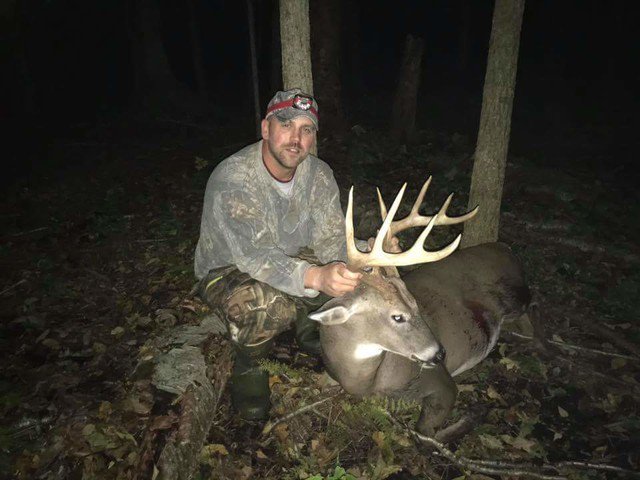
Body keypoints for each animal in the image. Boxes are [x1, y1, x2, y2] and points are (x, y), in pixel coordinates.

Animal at [309, 177, 530, 435]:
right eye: (397, 316)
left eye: (416, 304)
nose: (440, 353)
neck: (365, 381)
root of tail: (506, 247)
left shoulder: (441, 380)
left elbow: (422, 433)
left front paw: (474, 414)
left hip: (516, 295)